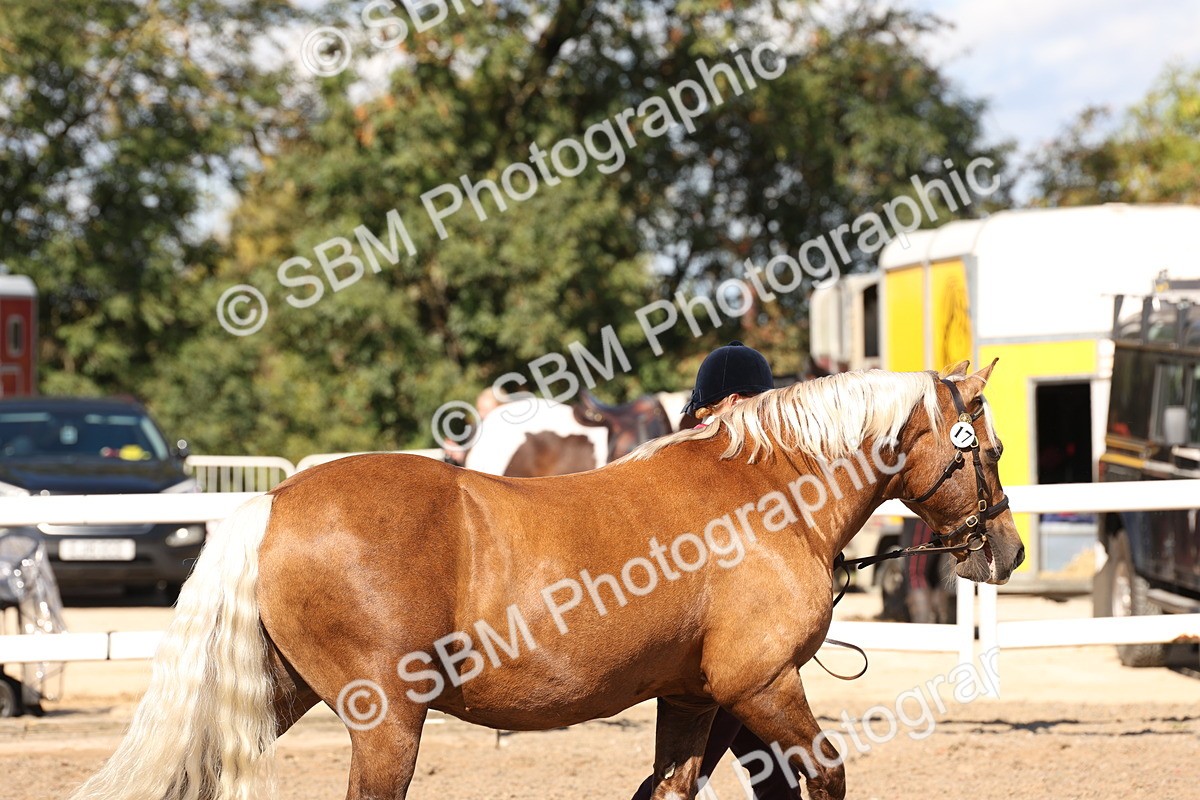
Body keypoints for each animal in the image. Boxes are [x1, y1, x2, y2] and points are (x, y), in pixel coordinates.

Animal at [68, 361, 1023, 800]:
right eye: (993, 447)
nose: (1006, 551)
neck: (761, 493)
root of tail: (275, 500)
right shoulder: (763, 684)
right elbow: (823, 779)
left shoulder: (694, 698)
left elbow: (671, 789)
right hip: (386, 722)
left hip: (277, 693)